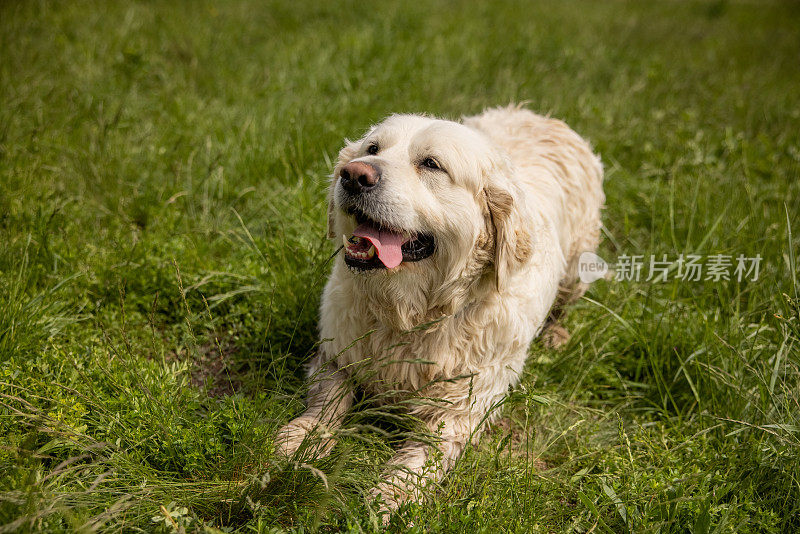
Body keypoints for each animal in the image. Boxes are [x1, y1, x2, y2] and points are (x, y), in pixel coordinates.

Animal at [278, 103, 604, 516]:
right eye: (372, 149)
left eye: (431, 164)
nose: (353, 175)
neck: (411, 314)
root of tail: (543, 117)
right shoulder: (336, 355)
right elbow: (326, 404)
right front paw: (300, 441)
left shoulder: (460, 410)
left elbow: (422, 457)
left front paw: (390, 494)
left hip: (579, 265)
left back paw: (557, 333)